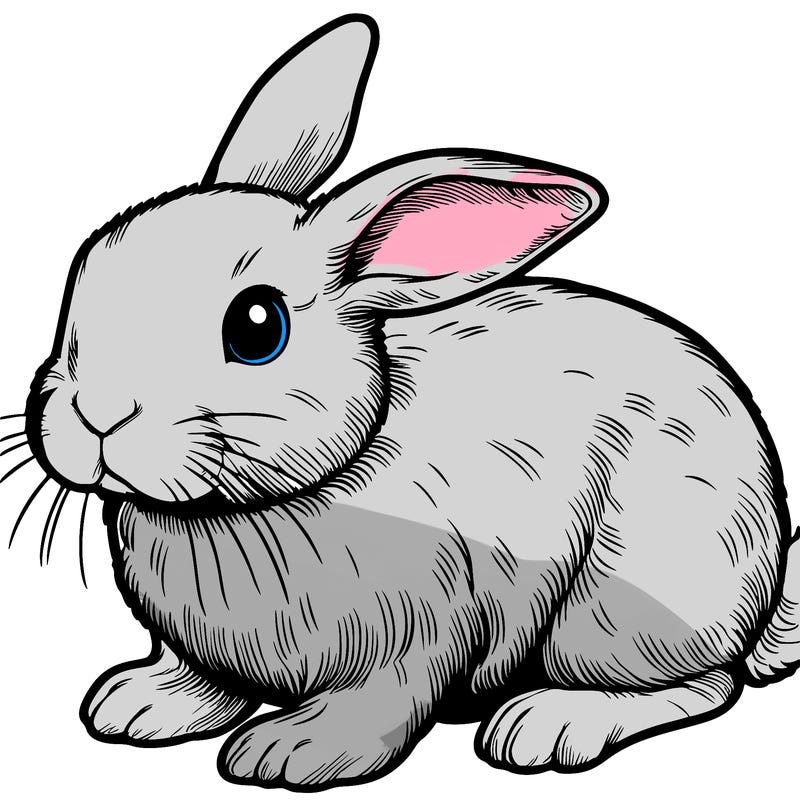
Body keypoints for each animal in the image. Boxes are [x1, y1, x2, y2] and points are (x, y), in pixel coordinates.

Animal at [14, 11, 800, 792]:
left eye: (257, 327)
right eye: (85, 271)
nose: (97, 414)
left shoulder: (419, 634)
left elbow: (382, 704)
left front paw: (291, 752)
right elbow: (204, 681)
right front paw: (138, 705)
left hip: (617, 613)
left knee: (704, 685)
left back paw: (546, 725)